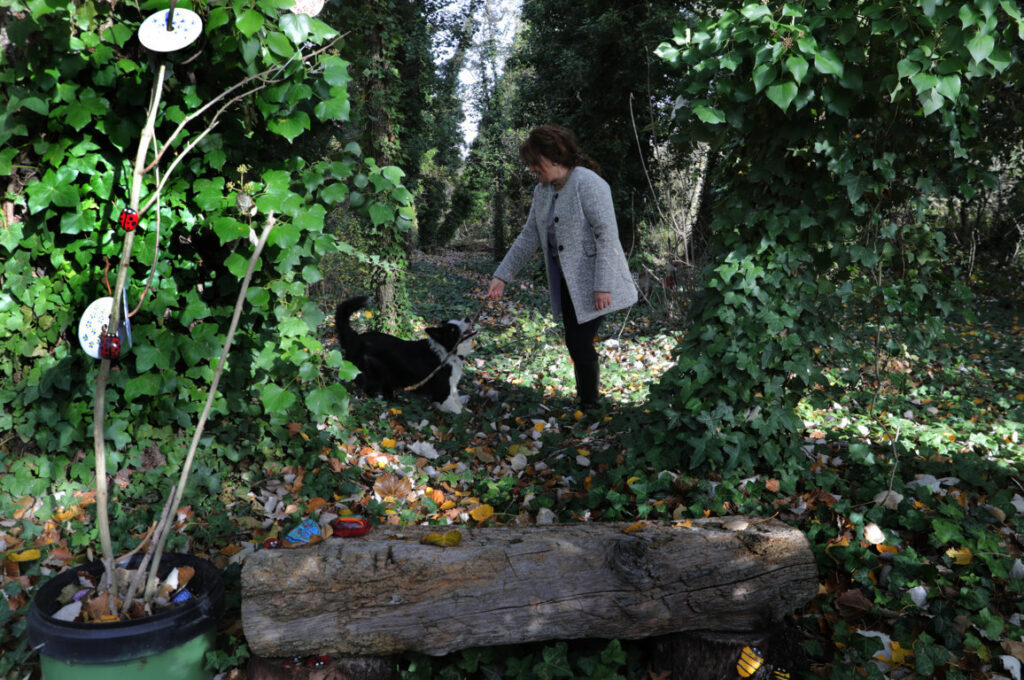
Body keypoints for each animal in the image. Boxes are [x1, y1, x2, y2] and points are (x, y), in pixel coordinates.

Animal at [337, 294, 477, 411]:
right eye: (453, 330)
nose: (468, 318)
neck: (448, 351)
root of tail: (356, 338)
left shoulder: (452, 385)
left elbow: (457, 400)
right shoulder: (441, 393)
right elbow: (458, 411)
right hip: (376, 373)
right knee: (370, 390)